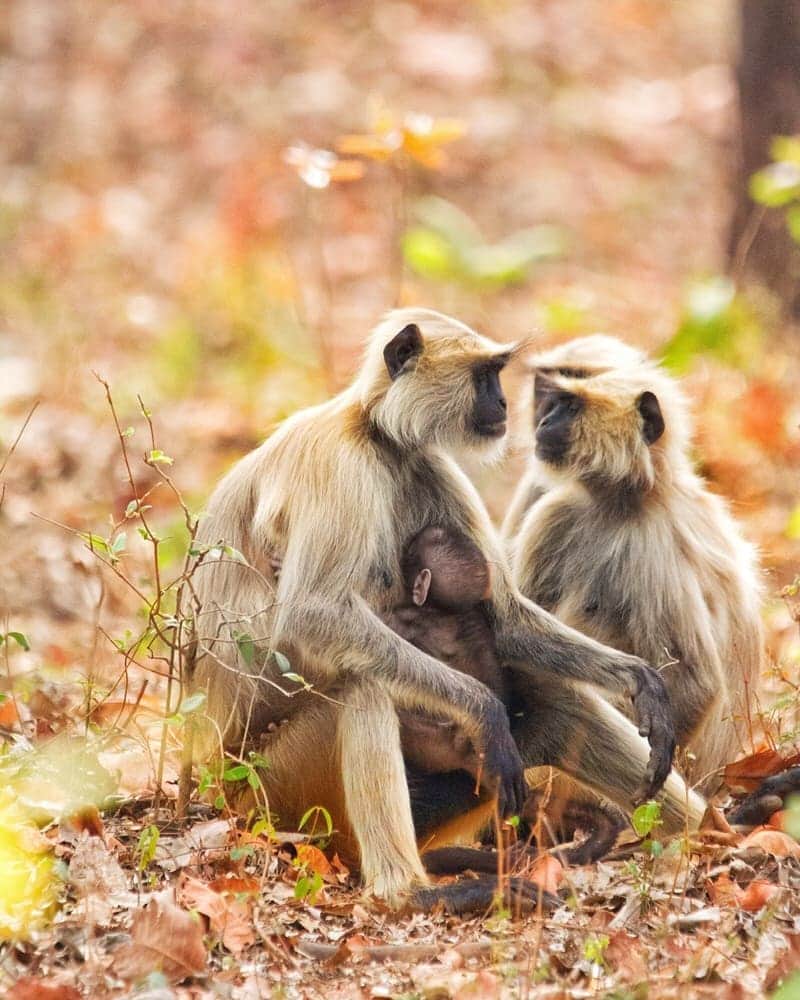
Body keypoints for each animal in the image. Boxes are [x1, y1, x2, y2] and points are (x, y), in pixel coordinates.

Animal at [187, 308, 682, 914]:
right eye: (486, 375)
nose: (504, 405)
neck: (376, 433)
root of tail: (213, 778)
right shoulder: (341, 465)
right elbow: (312, 616)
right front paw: (484, 708)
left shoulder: (424, 463)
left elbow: (507, 620)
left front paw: (641, 681)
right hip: (272, 789)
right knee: (363, 686)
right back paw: (413, 893)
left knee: (556, 700)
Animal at [504, 350, 764, 860]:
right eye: (552, 401)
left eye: (568, 405)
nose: (543, 420)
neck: (630, 497)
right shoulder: (558, 517)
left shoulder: (649, 543)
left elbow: (695, 683)